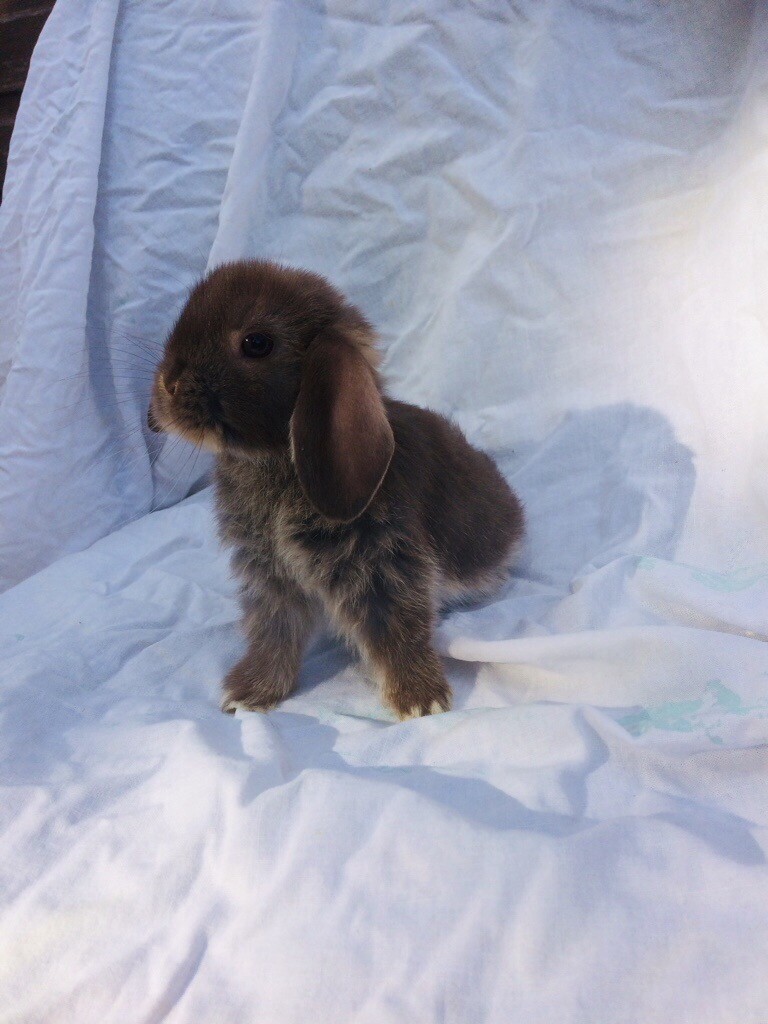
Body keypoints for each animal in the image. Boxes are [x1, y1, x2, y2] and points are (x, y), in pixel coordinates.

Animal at [148, 260, 524, 719]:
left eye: (256, 344)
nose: (168, 384)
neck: (274, 460)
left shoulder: (385, 566)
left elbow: (400, 630)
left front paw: (420, 700)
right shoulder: (271, 575)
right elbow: (274, 632)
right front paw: (251, 692)